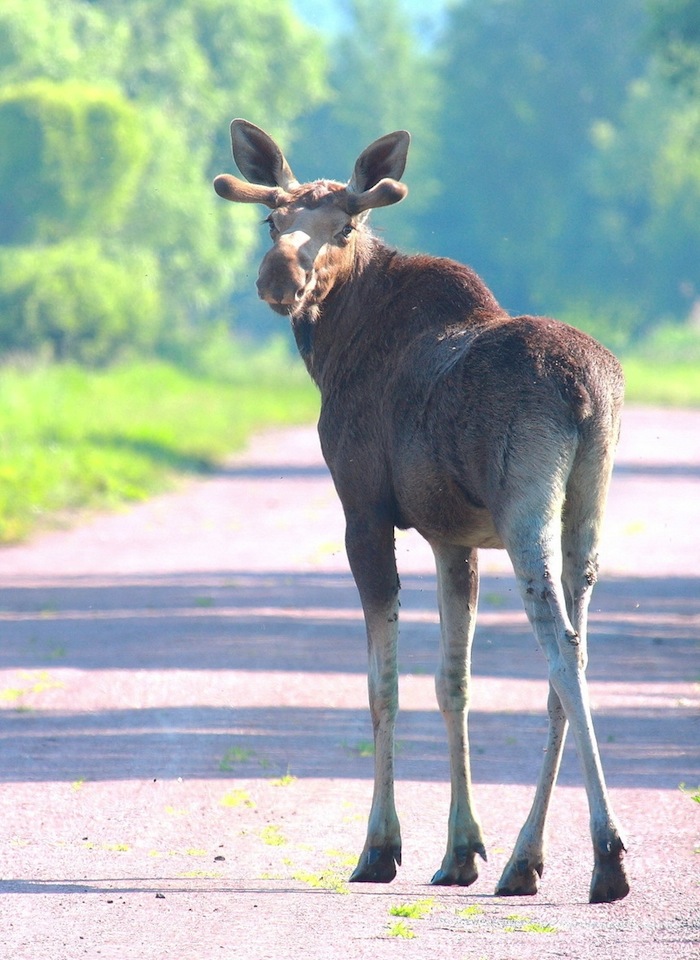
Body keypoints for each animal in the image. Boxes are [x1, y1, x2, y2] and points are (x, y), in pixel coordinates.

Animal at [213, 118, 628, 900]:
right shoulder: (452, 537)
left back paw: (608, 854)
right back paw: (525, 858)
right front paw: (462, 849)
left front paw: (381, 846)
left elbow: (385, 686)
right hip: (585, 514)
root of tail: (586, 393)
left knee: (560, 647)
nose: (279, 277)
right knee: (576, 658)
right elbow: (452, 683)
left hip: (527, 510)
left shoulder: (365, 513)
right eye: (270, 220)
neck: (334, 349)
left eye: (344, 225)